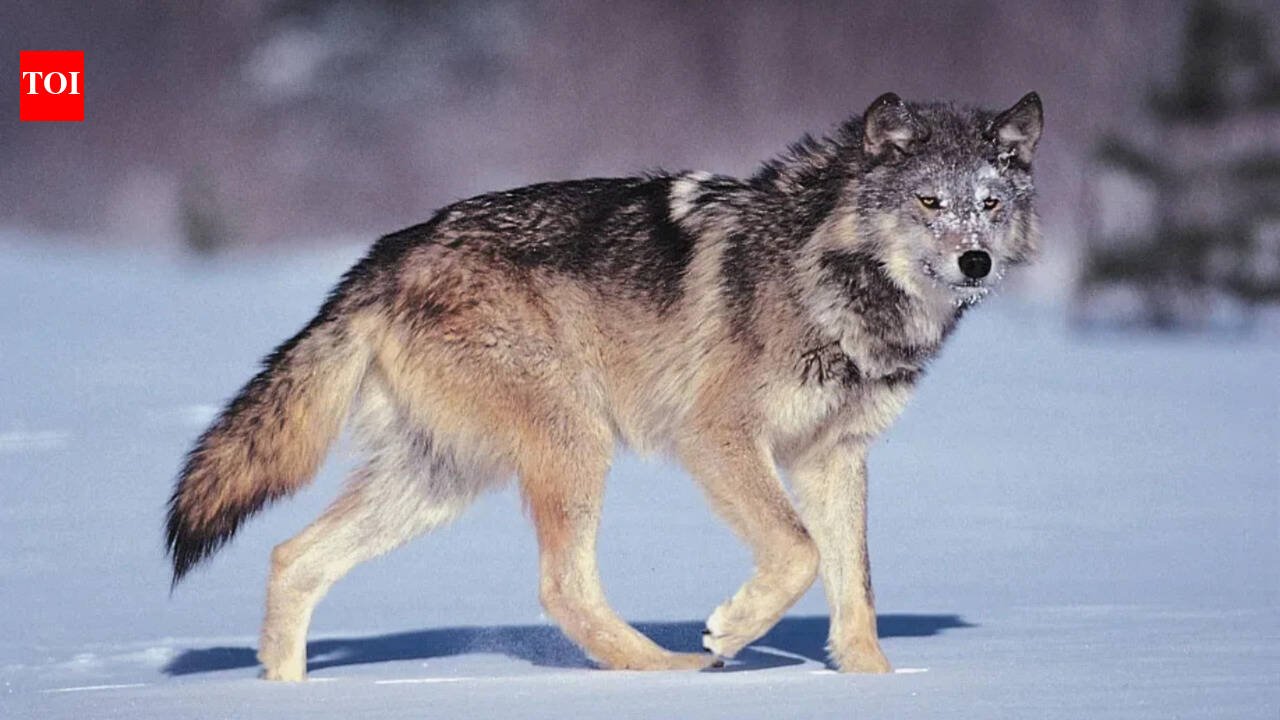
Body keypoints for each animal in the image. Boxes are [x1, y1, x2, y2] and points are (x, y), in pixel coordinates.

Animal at [166, 91, 1042, 680]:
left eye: (989, 205)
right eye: (929, 202)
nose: (975, 262)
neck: (833, 281)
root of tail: (385, 255)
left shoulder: (836, 454)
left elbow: (852, 583)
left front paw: (874, 685)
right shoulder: (718, 436)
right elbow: (797, 552)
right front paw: (730, 633)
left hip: (440, 481)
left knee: (291, 556)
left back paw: (284, 691)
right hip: (573, 441)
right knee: (561, 588)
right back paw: (670, 671)